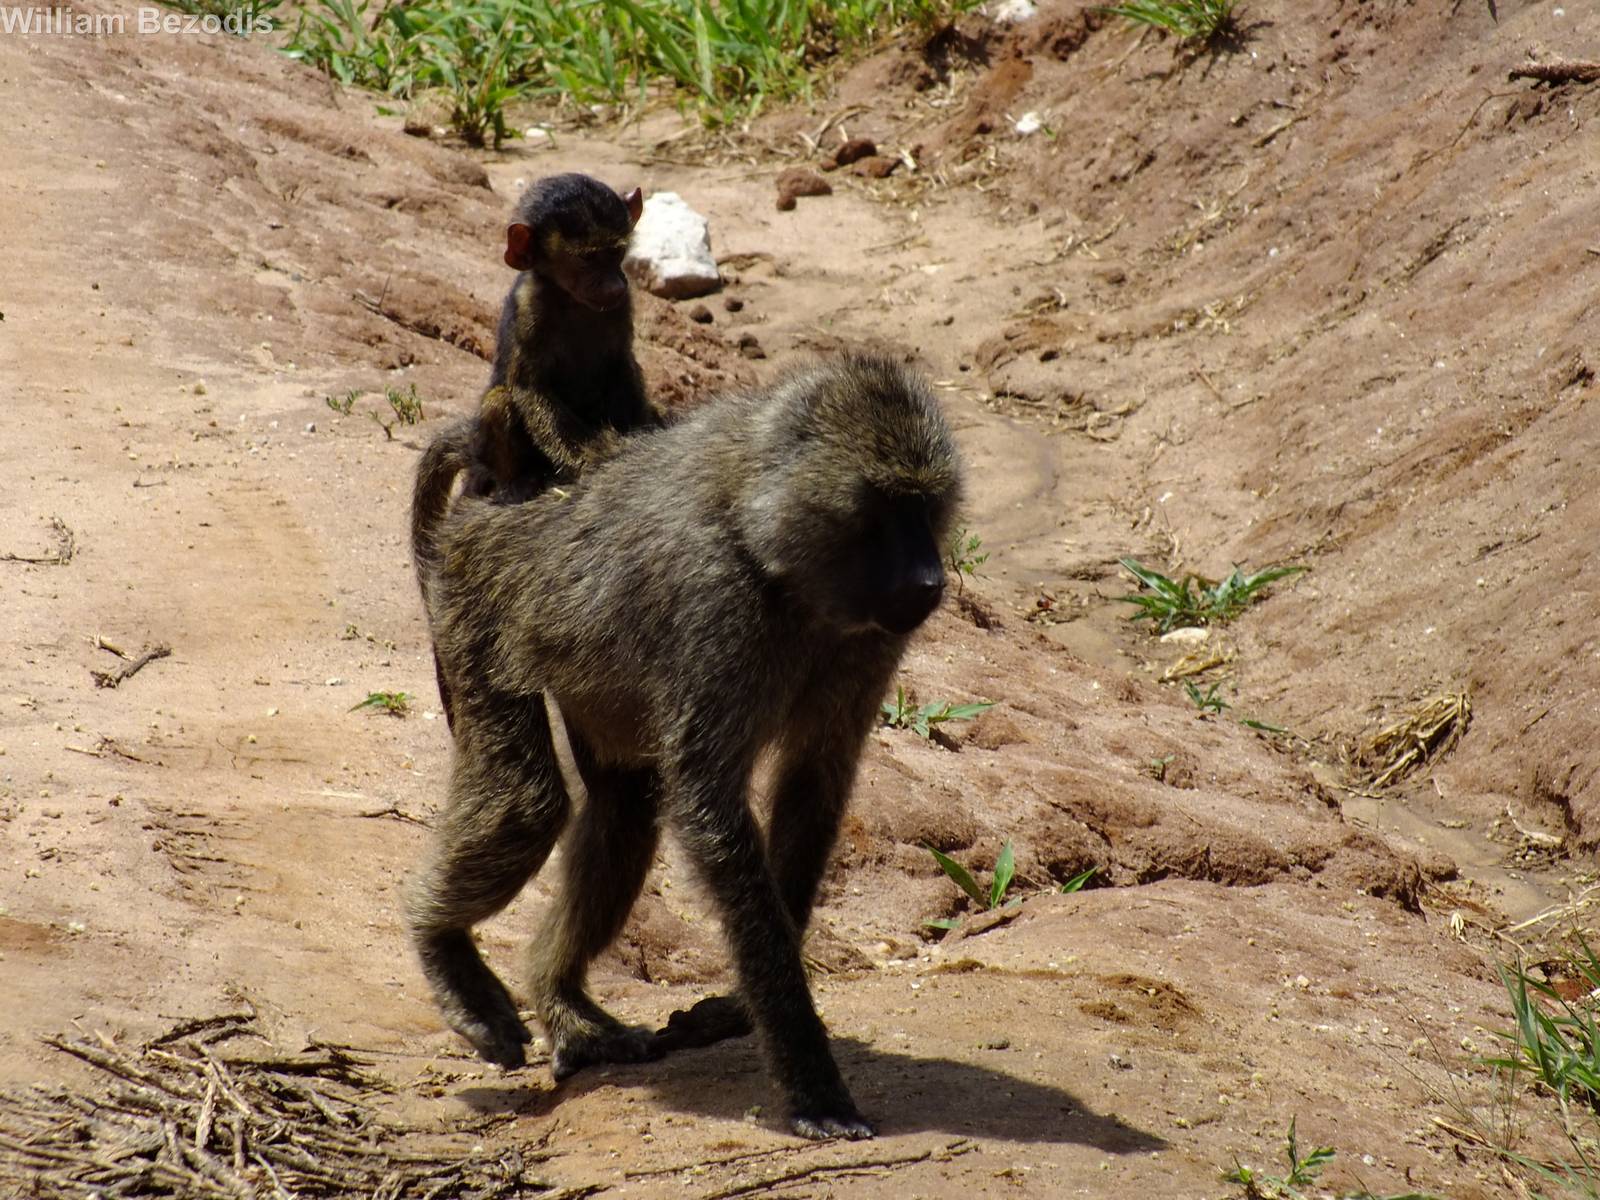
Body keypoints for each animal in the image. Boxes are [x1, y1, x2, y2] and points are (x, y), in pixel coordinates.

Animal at [407, 354, 961, 1140]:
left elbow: (813, 787)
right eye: (886, 507)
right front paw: (811, 1080)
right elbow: (709, 805)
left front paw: (738, 1008)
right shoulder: (714, 603)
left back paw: (565, 1006)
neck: (775, 553)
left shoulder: (868, 640)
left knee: (624, 808)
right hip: (474, 600)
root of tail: (500, 497)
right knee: (525, 803)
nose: (930, 580)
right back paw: (443, 947)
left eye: (927, 505)